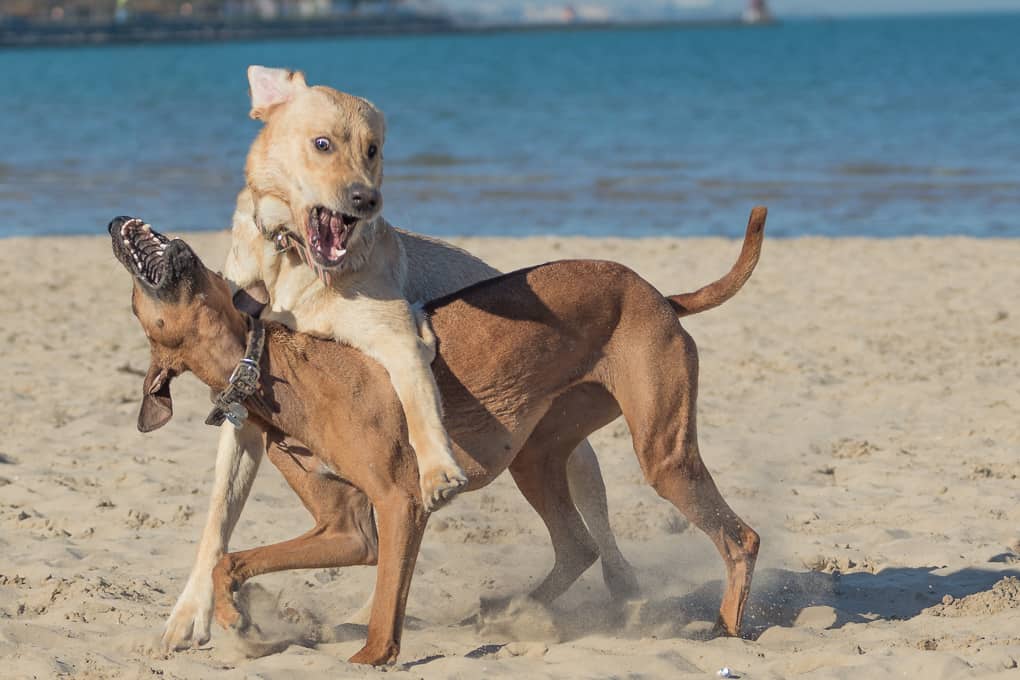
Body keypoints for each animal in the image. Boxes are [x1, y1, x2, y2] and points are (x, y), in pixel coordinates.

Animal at [111, 210, 767, 668]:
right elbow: (231, 558)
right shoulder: (346, 530)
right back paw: (511, 612)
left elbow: (383, 618)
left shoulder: (398, 505)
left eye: (138, 298)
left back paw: (727, 624)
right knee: (579, 544)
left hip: (662, 454)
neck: (266, 366)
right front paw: (236, 620)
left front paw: (366, 657)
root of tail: (658, 293)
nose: (115, 224)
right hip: (537, 455)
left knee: (740, 536)